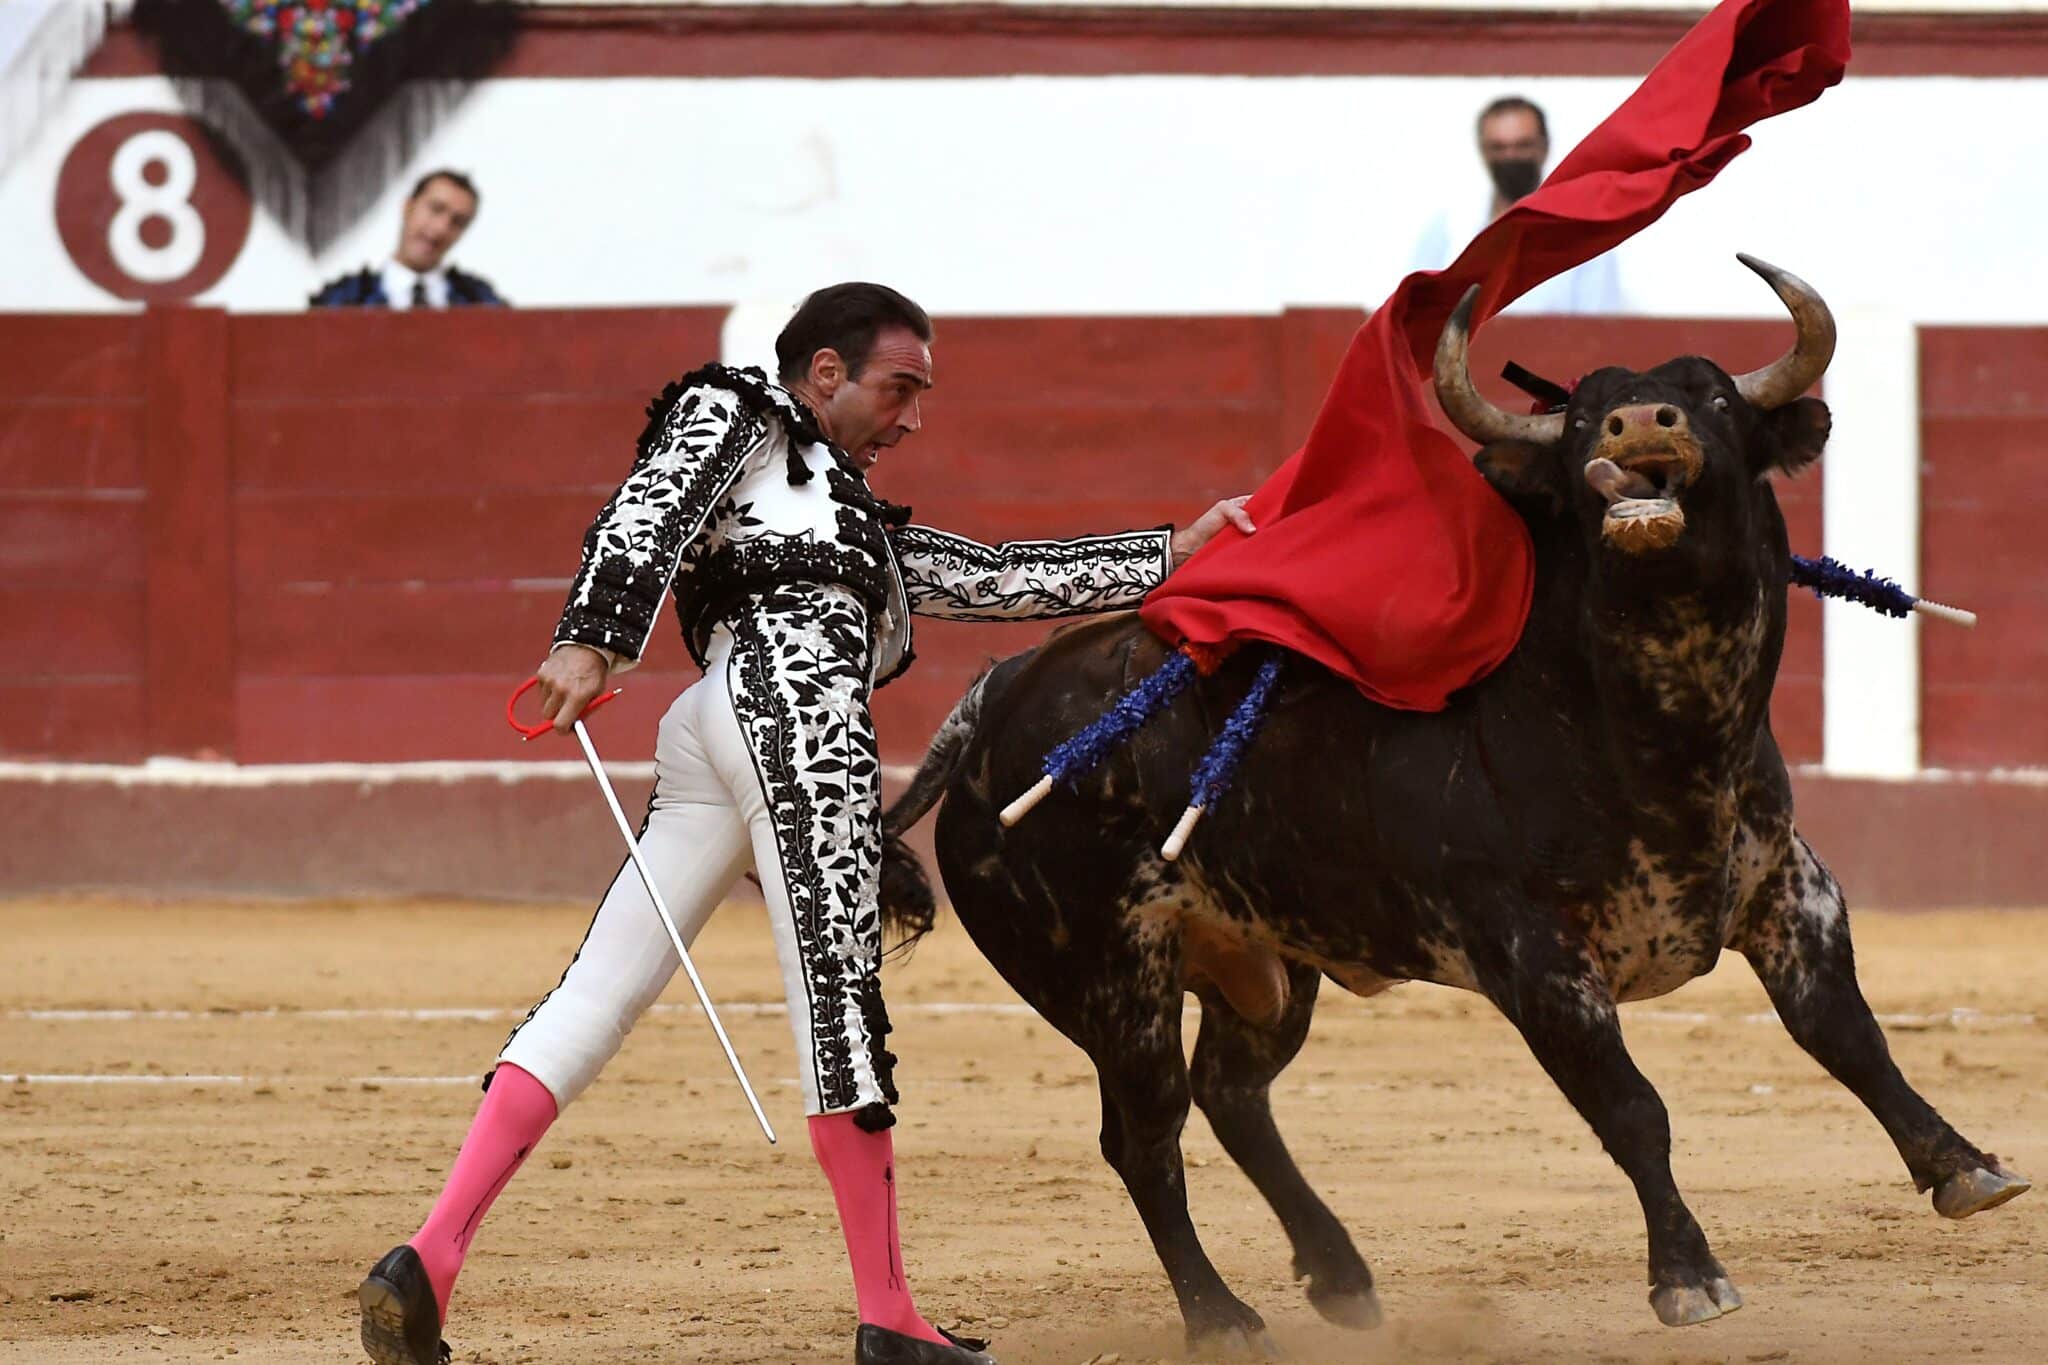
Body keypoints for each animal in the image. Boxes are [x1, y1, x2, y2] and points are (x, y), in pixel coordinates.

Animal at [884, 261, 2031, 1350]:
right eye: (1582, 420)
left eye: (1707, 396)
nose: (1638, 424)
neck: (1661, 734)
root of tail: (994, 697)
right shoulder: (1534, 956)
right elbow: (1633, 1108)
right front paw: (1688, 1278)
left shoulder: (1788, 888)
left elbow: (1846, 1034)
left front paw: (1962, 1165)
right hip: (1111, 981)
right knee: (1145, 1133)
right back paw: (1221, 1317)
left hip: (1269, 965)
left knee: (1230, 1093)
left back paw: (1341, 1277)